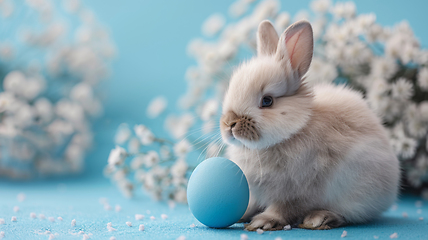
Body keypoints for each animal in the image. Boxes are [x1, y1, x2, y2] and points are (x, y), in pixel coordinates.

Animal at [221, 20, 402, 231]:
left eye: (267, 101)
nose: (229, 124)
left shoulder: (296, 192)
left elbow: (283, 208)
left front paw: (264, 221)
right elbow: (251, 204)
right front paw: (241, 213)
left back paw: (320, 219)